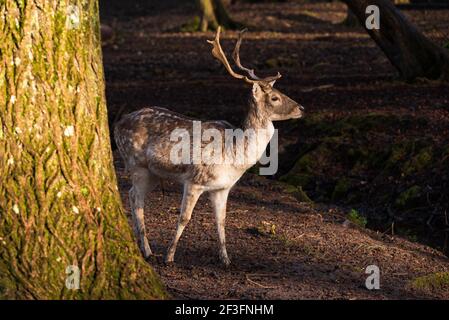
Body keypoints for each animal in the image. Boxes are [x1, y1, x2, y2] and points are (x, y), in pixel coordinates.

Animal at [114, 27, 304, 266]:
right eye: (275, 97)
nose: (302, 108)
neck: (234, 156)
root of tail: (117, 124)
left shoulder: (222, 188)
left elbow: (221, 221)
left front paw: (226, 259)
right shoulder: (194, 180)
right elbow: (184, 218)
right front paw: (169, 256)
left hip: (154, 172)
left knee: (132, 195)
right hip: (136, 164)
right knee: (135, 199)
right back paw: (148, 251)